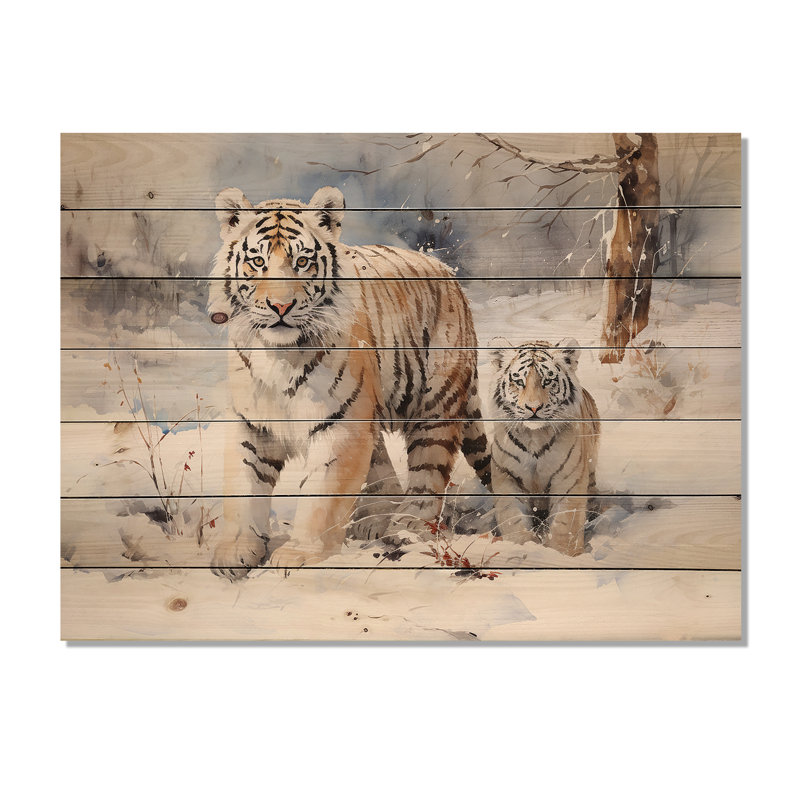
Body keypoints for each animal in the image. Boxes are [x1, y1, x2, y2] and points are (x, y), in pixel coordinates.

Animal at [207, 185, 491, 578]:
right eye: (258, 262)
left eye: (303, 262)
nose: (280, 306)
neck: (280, 354)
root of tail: (448, 275)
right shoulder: (253, 423)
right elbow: (243, 487)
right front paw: (235, 551)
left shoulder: (339, 424)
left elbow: (322, 494)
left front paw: (300, 556)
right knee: (381, 460)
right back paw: (375, 521)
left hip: (435, 401)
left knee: (429, 469)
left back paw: (408, 528)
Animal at [489, 340, 600, 557]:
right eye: (519, 381)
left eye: (548, 380)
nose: (533, 408)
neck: (535, 437)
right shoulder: (506, 475)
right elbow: (513, 518)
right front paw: (520, 548)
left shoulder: (569, 479)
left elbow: (565, 524)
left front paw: (563, 555)